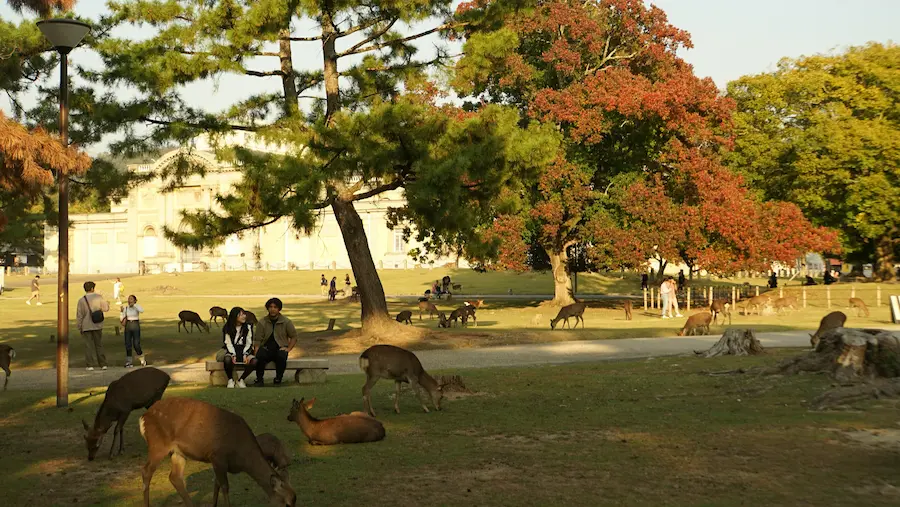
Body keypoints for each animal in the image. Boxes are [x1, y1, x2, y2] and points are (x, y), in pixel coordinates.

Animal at [139, 397, 296, 507]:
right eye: (287, 504)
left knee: (175, 477)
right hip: (158, 444)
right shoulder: (217, 456)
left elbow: (217, 484)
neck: (242, 457)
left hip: (178, 452)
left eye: (295, 500)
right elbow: (225, 487)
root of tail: (143, 418)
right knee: (146, 471)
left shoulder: (219, 462)